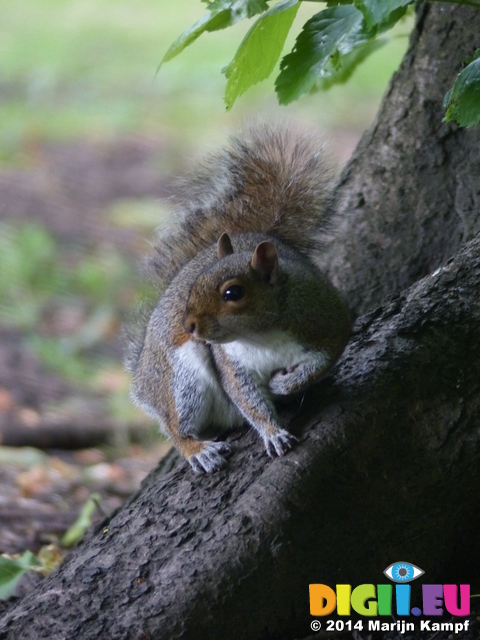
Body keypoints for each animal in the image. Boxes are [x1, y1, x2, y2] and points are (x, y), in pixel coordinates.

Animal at [127, 126, 352, 476]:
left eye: (233, 293)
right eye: (193, 286)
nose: (188, 324)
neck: (262, 336)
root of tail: (142, 377)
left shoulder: (327, 321)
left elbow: (321, 361)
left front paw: (287, 384)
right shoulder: (233, 364)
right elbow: (247, 397)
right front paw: (272, 433)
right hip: (181, 377)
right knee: (176, 426)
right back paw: (197, 450)